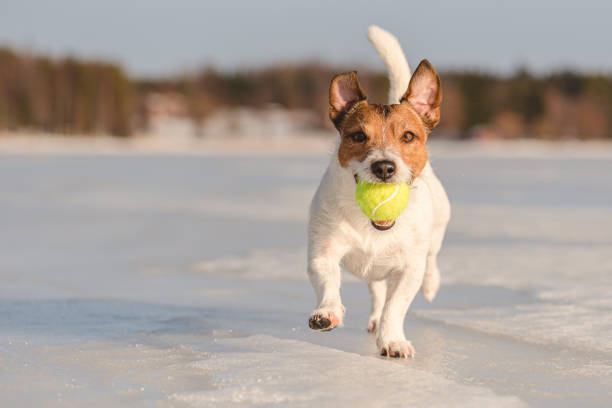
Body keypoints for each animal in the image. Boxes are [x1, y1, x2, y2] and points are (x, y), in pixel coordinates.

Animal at [306, 26, 450, 356]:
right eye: (358, 136)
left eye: (408, 136)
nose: (384, 167)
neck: (374, 228)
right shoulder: (323, 251)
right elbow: (328, 281)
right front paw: (327, 313)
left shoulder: (408, 268)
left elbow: (395, 307)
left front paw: (392, 340)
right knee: (376, 290)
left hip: (439, 224)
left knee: (431, 258)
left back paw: (431, 284)